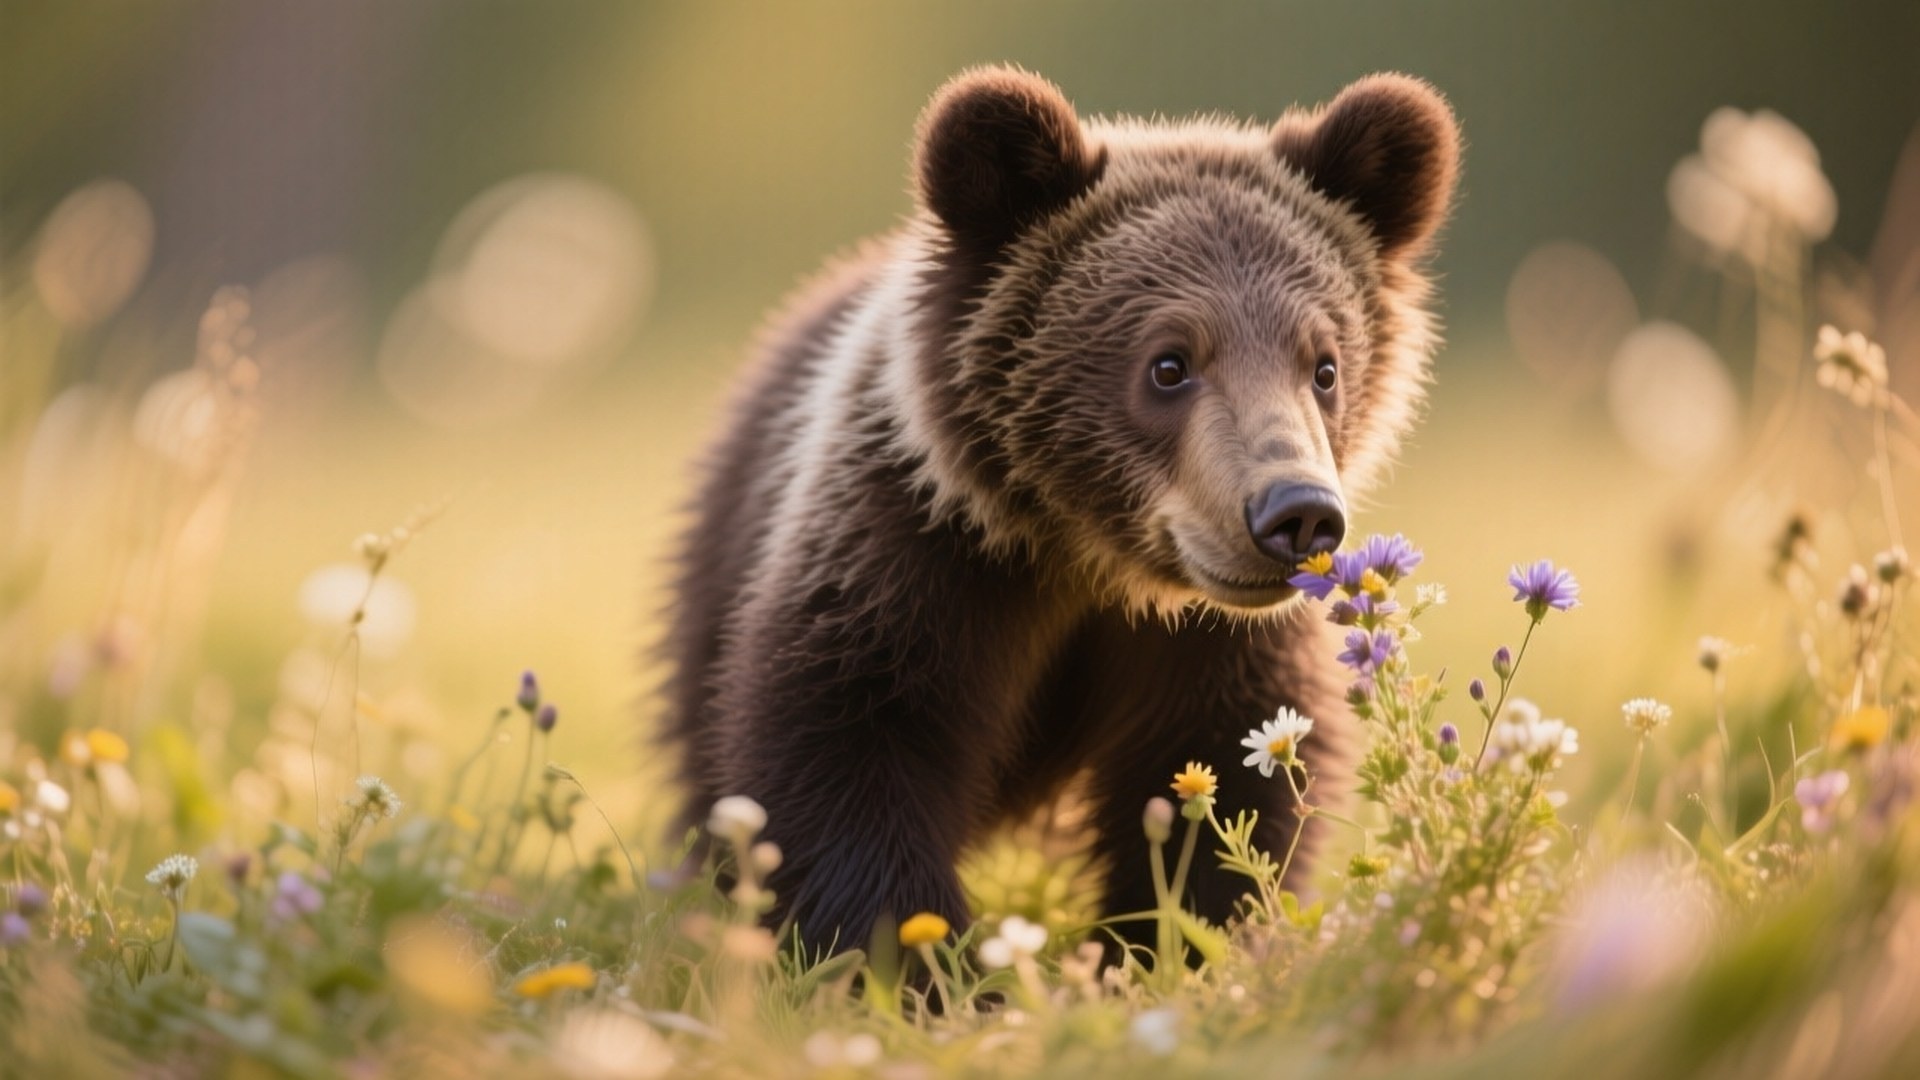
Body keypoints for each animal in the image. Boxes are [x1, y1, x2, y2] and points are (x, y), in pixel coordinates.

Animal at [663, 66, 1460, 957]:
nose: (1296, 513)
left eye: (1323, 366)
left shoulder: (1211, 646)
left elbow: (1226, 774)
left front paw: (1166, 943)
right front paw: (916, 954)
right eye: (1169, 364)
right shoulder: (916, 556)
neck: (1090, 560)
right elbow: (843, 742)